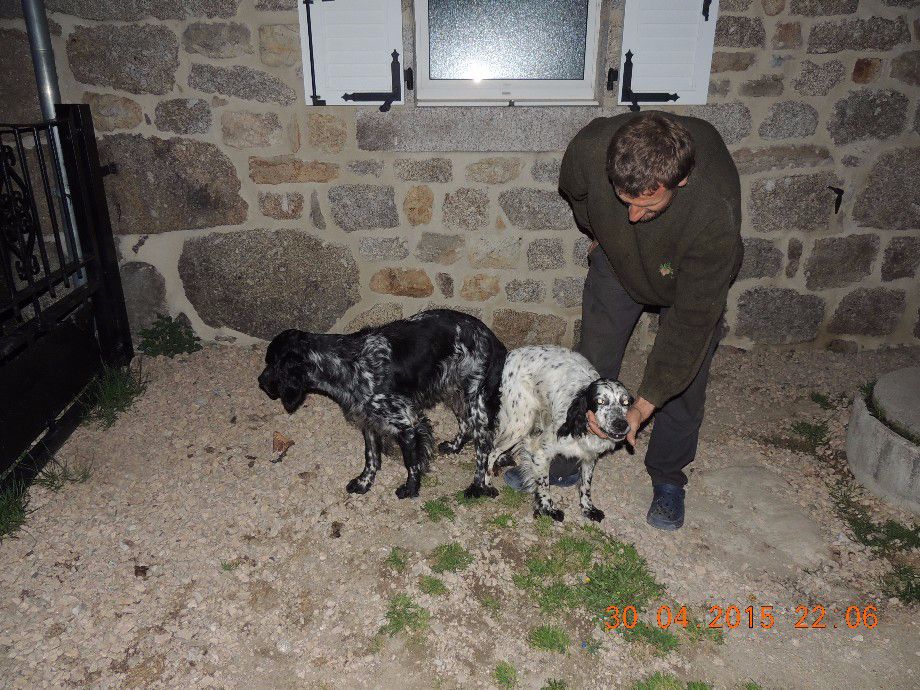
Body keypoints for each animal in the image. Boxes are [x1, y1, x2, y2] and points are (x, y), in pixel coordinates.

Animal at [255, 310, 506, 498]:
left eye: (271, 363)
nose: (260, 381)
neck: (344, 363)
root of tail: (489, 335)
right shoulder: (368, 419)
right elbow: (371, 456)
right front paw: (364, 482)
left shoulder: (407, 423)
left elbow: (411, 462)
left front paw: (410, 489)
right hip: (453, 390)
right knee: (466, 425)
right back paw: (455, 447)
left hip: (474, 399)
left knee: (484, 443)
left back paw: (478, 486)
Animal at [482, 344, 632, 520]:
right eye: (600, 401)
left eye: (625, 402)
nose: (621, 424)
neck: (581, 427)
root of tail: (511, 354)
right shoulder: (541, 452)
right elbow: (544, 484)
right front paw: (548, 508)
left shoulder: (590, 456)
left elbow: (585, 485)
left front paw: (588, 508)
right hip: (521, 421)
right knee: (491, 450)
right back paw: (487, 484)